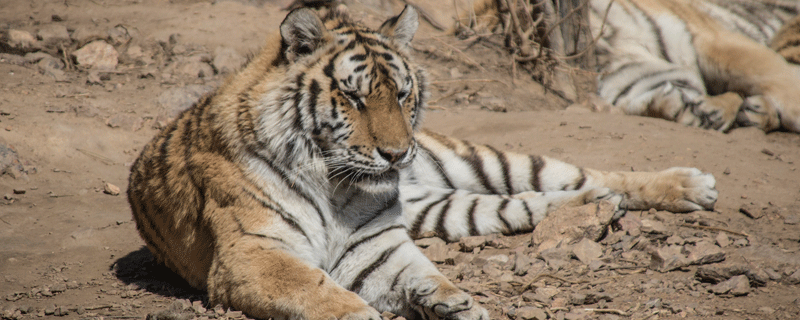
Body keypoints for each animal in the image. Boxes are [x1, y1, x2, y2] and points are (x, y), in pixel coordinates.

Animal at [126, 5, 720, 320]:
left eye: (403, 93)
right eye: (354, 97)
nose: (396, 154)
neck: (338, 186)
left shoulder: (377, 248)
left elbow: (426, 273)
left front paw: (454, 301)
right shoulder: (252, 254)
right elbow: (318, 291)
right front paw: (378, 310)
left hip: (481, 160)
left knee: (584, 173)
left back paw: (687, 185)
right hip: (447, 206)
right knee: (523, 202)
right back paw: (599, 207)